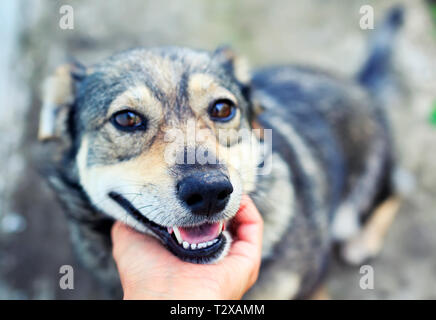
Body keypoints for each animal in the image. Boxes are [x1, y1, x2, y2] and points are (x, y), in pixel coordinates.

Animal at [39, 5, 404, 300]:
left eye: (222, 109)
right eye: (126, 118)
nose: (209, 192)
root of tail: (358, 84)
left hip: (358, 202)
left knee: (396, 190)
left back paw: (363, 241)